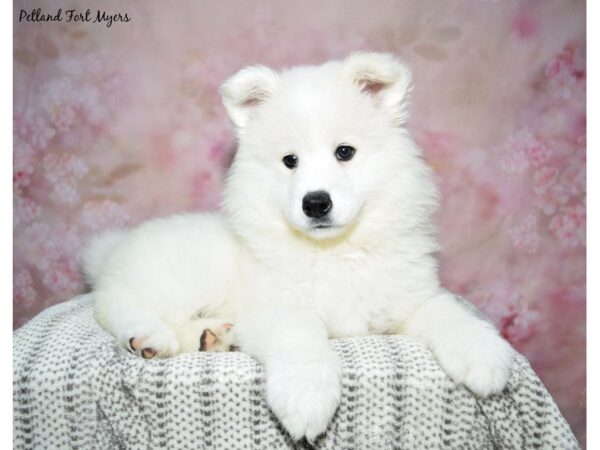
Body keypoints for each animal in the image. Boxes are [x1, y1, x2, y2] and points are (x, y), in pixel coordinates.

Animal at [85, 51, 516, 440]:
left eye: (345, 152)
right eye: (289, 161)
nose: (316, 202)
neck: (336, 251)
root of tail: (111, 250)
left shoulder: (407, 297)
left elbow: (448, 312)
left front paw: (483, 354)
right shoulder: (275, 308)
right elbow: (299, 335)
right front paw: (306, 397)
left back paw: (215, 337)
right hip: (186, 271)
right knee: (116, 304)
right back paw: (150, 337)